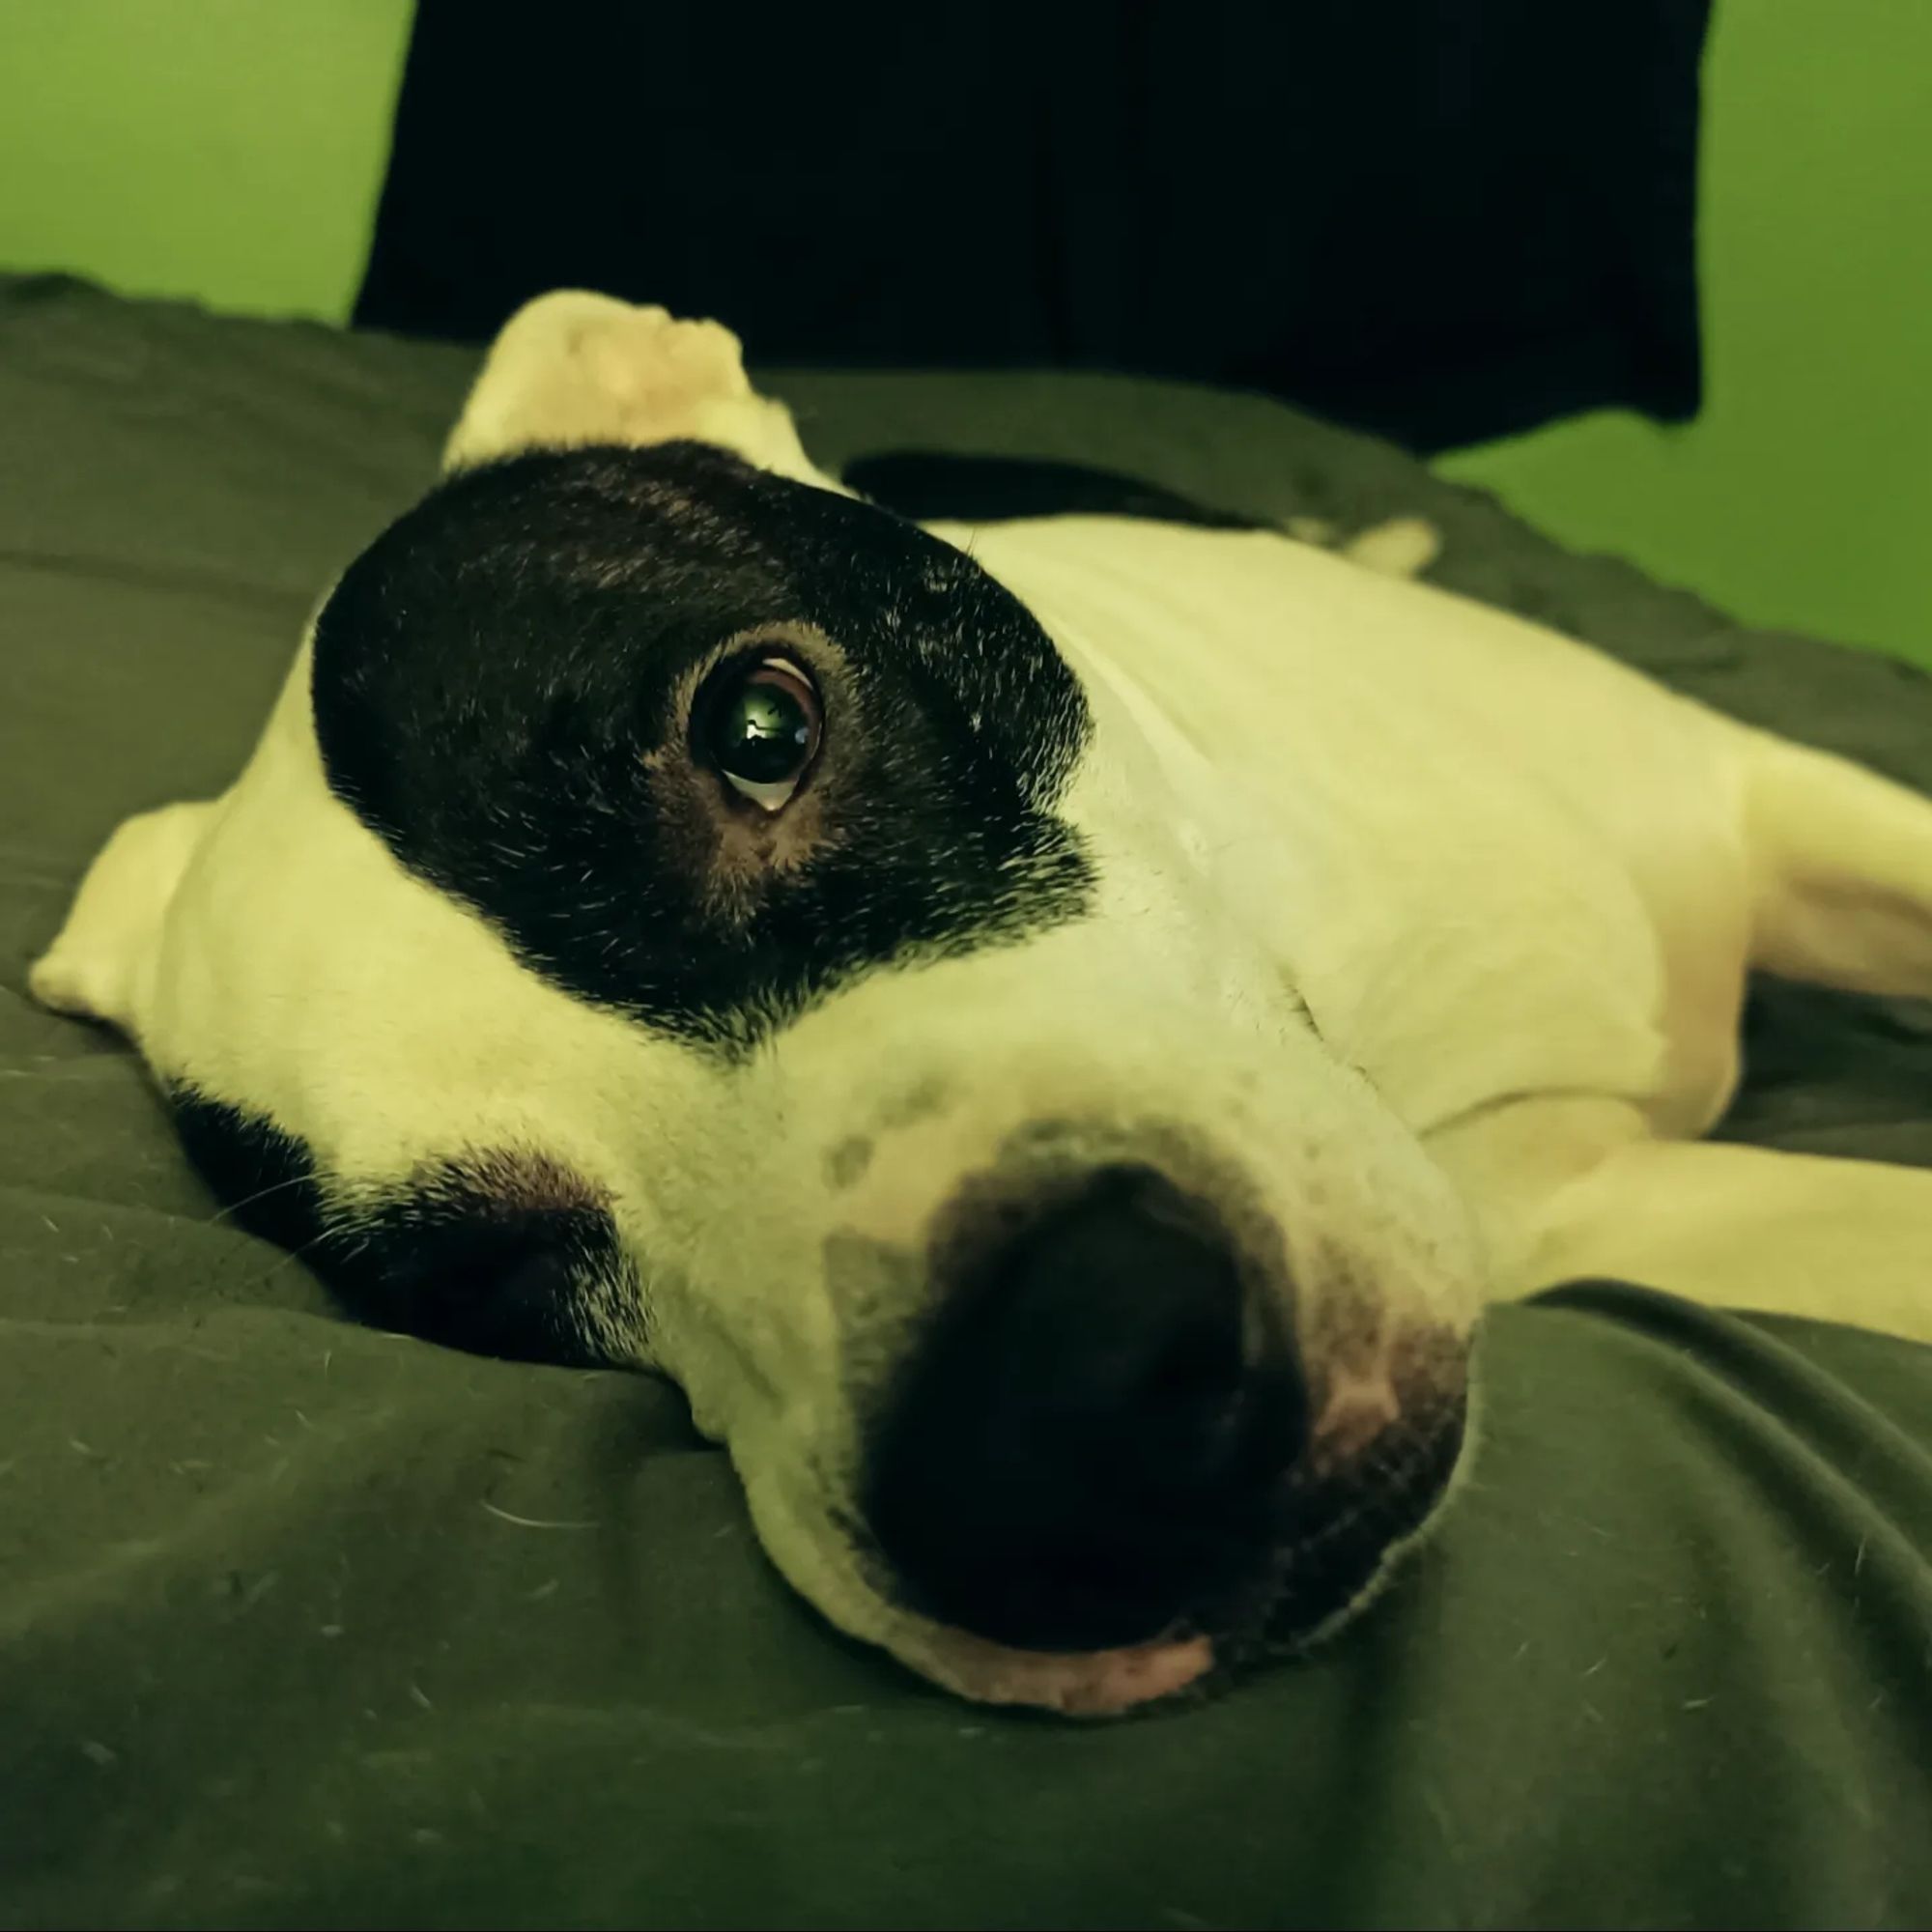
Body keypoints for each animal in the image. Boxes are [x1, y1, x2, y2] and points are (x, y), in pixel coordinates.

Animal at [30, 294, 1932, 1716]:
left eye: (760, 725)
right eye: (485, 1286)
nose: (1071, 1427)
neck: (1356, 974)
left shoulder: (1778, 798)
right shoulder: (1588, 1202)